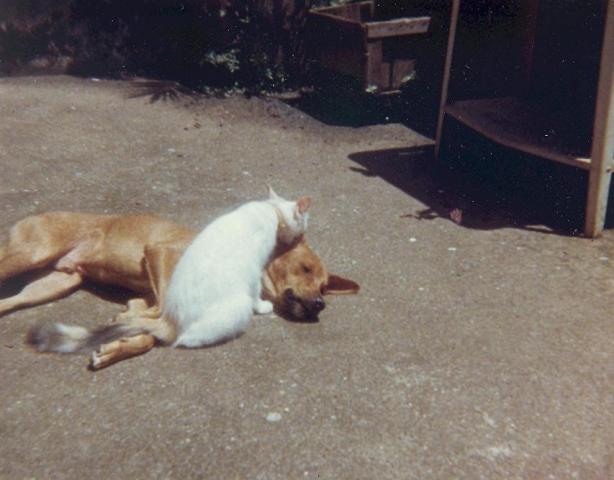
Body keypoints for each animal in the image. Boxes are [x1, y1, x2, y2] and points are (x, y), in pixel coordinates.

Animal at [0, 210, 360, 368]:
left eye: (324, 287)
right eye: (305, 268)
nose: (319, 304)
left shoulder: (143, 296)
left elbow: (147, 330)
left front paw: (117, 347)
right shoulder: (161, 253)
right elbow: (159, 319)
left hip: (55, 284)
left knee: (11, 301)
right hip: (30, 255)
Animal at [165, 186, 312, 346]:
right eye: (306, 221)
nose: (304, 233)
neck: (273, 209)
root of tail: (177, 324)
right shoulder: (255, 268)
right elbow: (256, 290)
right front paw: (261, 306)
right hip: (239, 305)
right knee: (190, 339)